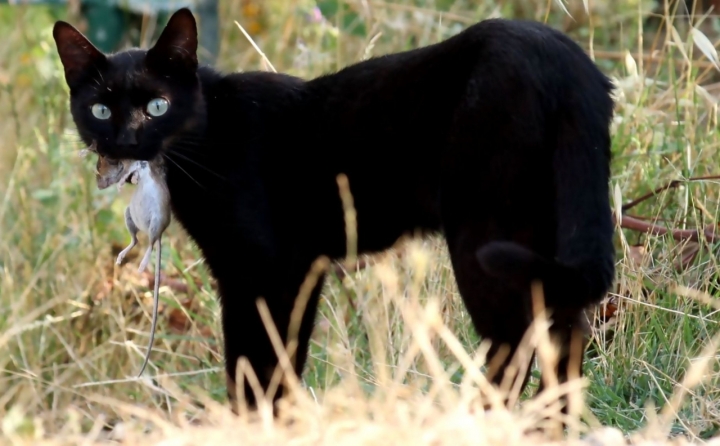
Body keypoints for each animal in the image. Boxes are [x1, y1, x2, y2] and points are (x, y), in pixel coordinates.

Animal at [52, 7, 612, 414]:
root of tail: (564, 57)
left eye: (158, 107)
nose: (126, 142)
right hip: (545, 229)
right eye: (100, 109)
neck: (205, 138)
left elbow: (255, 362)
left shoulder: (266, 269)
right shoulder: (292, 270)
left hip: (485, 234)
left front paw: (256, 422)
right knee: (566, 334)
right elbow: (278, 357)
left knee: (514, 341)